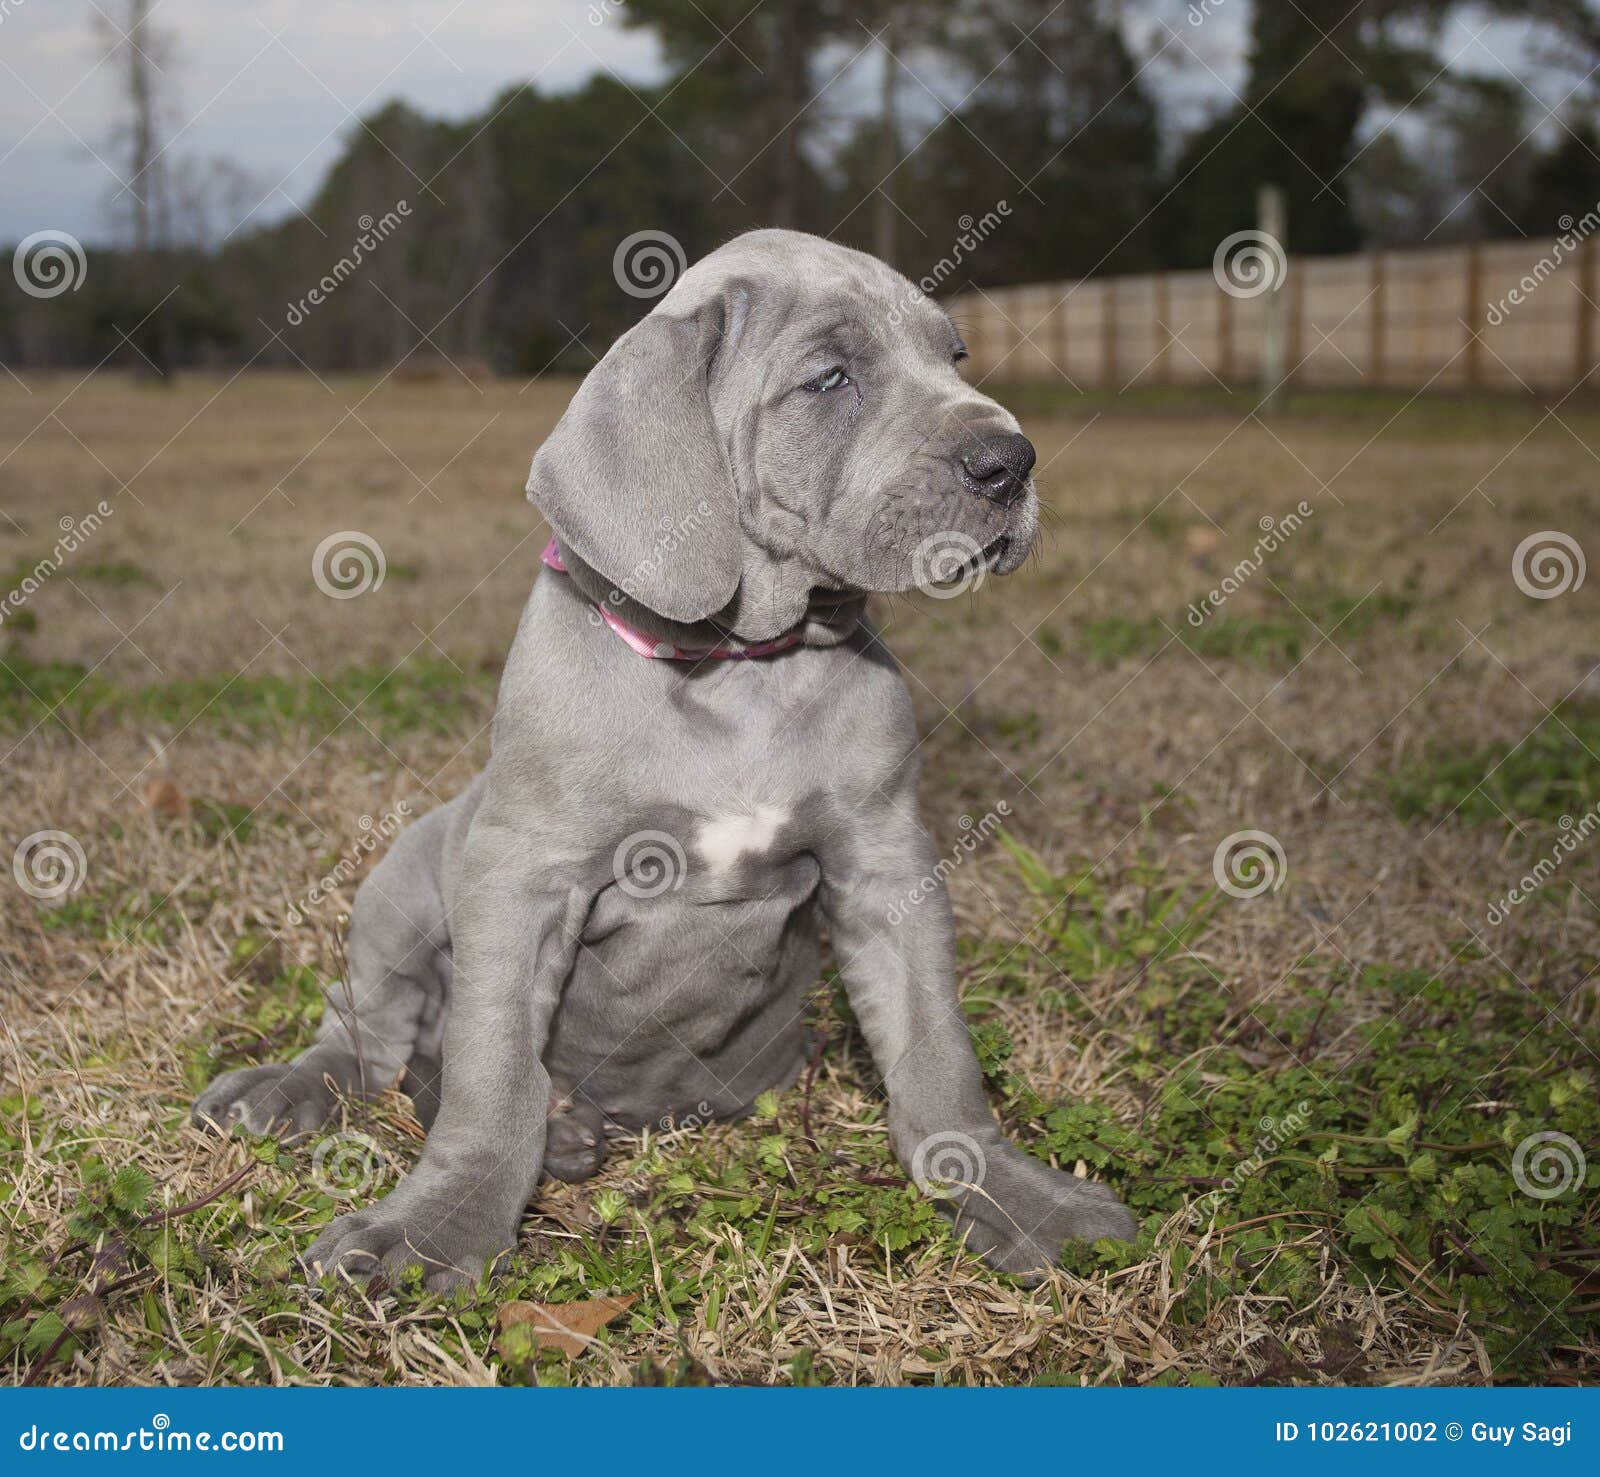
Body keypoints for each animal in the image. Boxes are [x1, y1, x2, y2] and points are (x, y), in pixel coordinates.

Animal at [193, 225, 1132, 1286]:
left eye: (955, 357)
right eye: (829, 378)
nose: (1009, 461)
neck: (739, 672)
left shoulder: (888, 864)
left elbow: (937, 1054)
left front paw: (1013, 1192)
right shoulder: (521, 876)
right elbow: (494, 1074)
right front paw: (439, 1224)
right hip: (397, 883)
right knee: (369, 1033)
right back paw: (298, 1090)